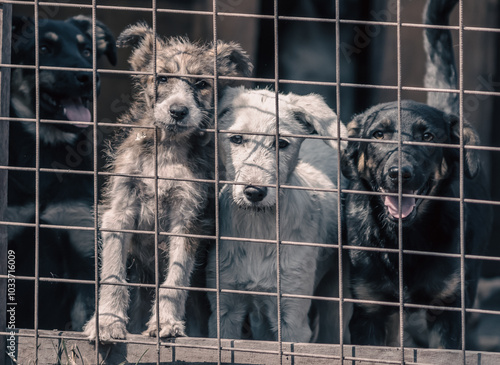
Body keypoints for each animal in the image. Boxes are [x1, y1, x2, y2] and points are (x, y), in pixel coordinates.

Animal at [206, 86, 344, 342]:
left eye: (281, 143)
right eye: (236, 139)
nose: (254, 192)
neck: (258, 228)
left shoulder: (292, 317)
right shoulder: (224, 309)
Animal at [340, 0, 492, 348]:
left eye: (428, 137)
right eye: (378, 135)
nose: (400, 174)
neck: (404, 239)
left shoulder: (449, 312)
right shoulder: (369, 311)